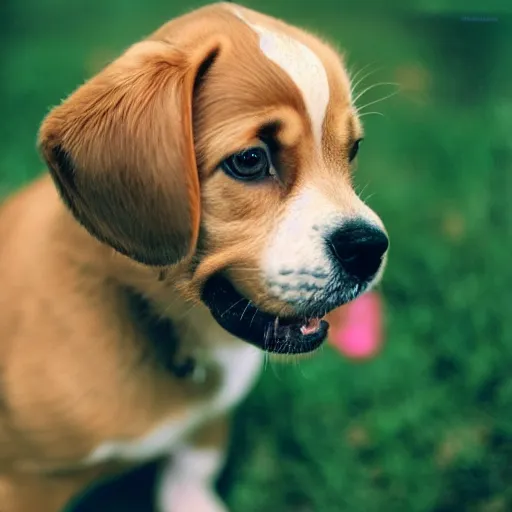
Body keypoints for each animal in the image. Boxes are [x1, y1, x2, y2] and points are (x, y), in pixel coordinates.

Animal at [0, 2, 388, 510]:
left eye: (353, 149)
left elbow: (192, 471)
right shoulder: (24, 480)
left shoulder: (208, 424)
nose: (370, 249)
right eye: (249, 160)